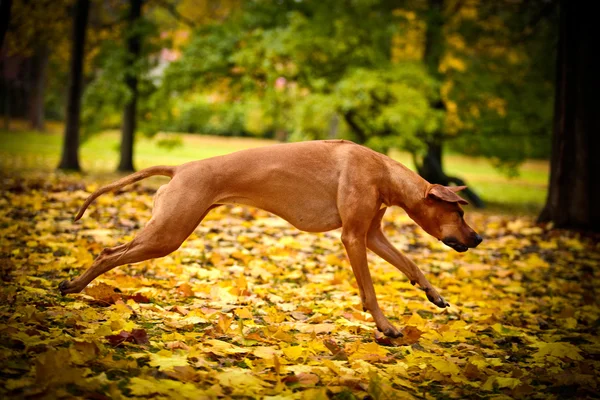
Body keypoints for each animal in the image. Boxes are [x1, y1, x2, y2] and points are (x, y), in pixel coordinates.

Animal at [59, 141, 482, 338]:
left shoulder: (372, 234)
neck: (382, 171)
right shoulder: (352, 237)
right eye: (459, 213)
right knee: (107, 253)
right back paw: (74, 285)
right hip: (167, 234)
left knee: (111, 251)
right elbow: (370, 290)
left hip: (166, 230)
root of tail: (181, 167)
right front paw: (386, 325)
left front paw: (433, 294)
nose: (477, 238)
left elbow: (411, 263)